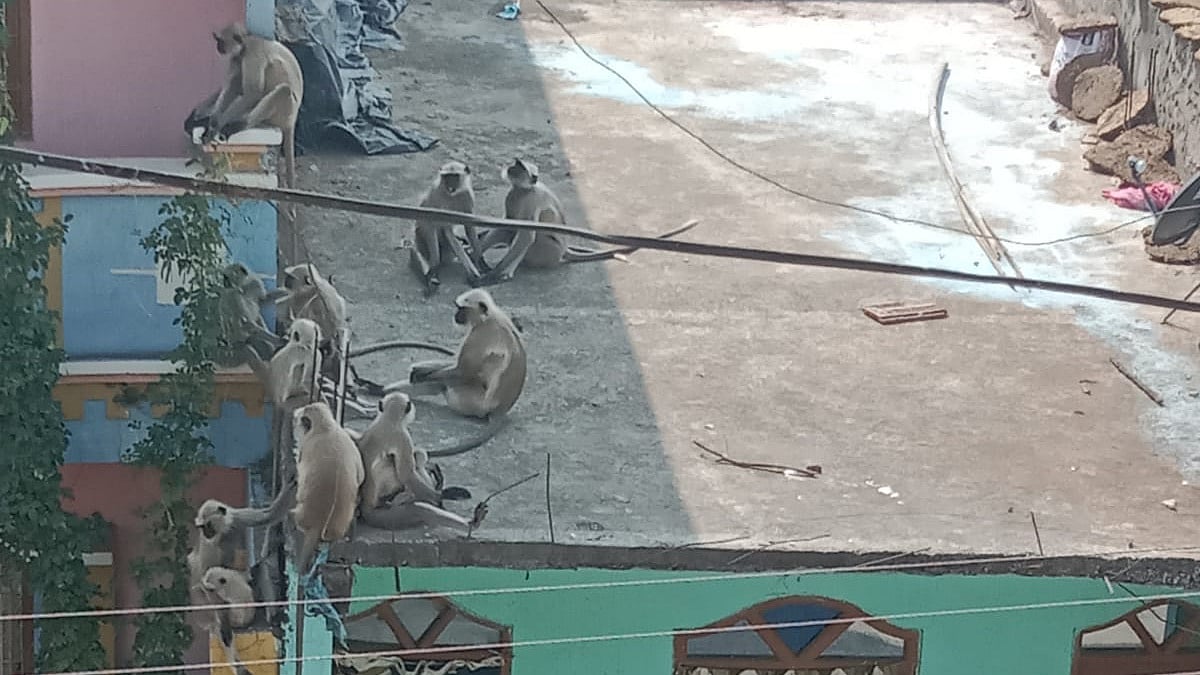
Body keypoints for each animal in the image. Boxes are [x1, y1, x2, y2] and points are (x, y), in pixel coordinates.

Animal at [187, 22, 304, 189]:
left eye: (220, 41)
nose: (218, 46)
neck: (246, 43)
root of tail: (291, 121)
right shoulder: (238, 57)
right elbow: (232, 86)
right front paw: (207, 121)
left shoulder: (252, 52)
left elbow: (253, 92)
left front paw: (216, 125)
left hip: (285, 112)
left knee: (283, 90)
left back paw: (239, 124)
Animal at [291, 402, 364, 576]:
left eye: (297, 420)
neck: (326, 428)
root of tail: (318, 524)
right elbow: (361, 476)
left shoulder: (306, 447)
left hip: (301, 515)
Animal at [371, 289, 525, 457]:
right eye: (457, 308)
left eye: (461, 309)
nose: (456, 315)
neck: (489, 317)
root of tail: (500, 409)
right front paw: (420, 370)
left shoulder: (480, 334)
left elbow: (463, 371)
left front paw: (420, 374)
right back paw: (376, 389)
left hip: (471, 401)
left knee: (445, 381)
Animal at [410, 162, 486, 295]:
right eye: (447, 177)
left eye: (454, 177)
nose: (450, 186)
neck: (453, 195)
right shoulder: (438, 194)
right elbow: (444, 228)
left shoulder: (467, 195)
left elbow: (469, 227)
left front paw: (478, 259)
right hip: (419, 235)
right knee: (423, 247)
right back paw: (432, 275)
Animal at [473, 158, 700, 285]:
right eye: (515, 165)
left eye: (521, 169)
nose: (512, 168)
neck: (523, 190)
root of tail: (564, 252)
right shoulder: (513, 196)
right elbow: (506, 226)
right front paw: (476, 256)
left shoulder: (531, 199)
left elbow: (526, 233)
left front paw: (496, 272)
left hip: (548, 251)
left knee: (532, 236)